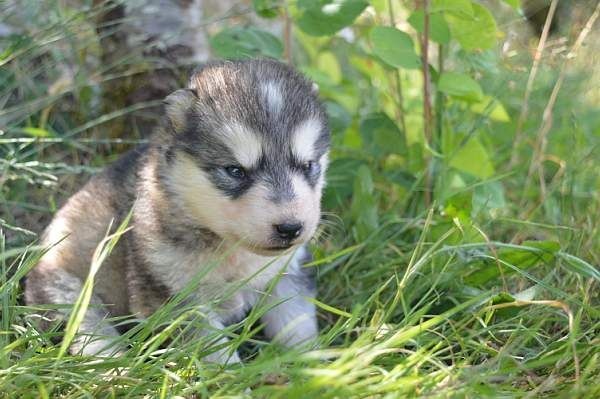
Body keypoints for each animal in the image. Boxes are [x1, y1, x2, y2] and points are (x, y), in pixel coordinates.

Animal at [25, 59, 330, 362]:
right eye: (235, 171)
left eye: (308, 165)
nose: (290, 228)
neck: (230, 248)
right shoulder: (173, 296)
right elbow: (214, 350)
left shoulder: (289, 273)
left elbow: (297, 325)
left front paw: (310, 365)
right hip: (67, 291)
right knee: (90, 333)